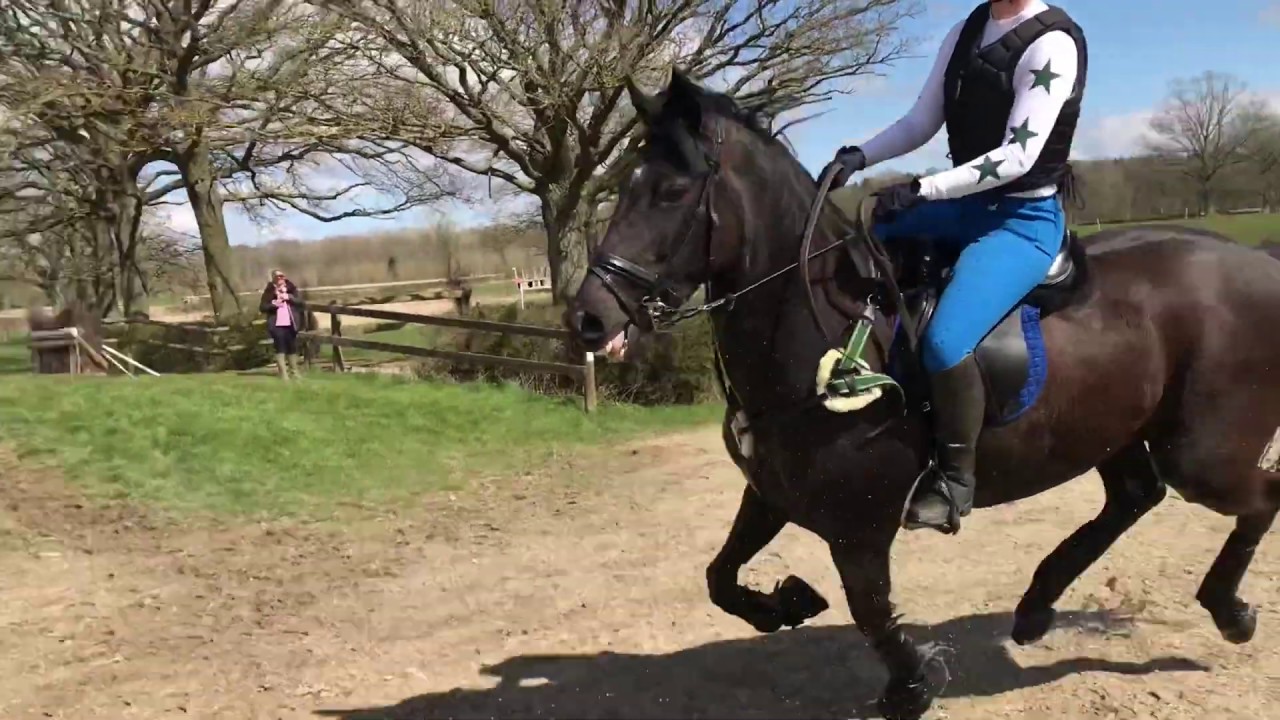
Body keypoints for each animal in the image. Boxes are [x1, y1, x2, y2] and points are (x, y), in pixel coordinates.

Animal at [565, 68, 1280, 720]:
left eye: (671, 192)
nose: (588, 319)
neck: (822, 331)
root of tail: (1259, 262)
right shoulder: (770, 493)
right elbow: (721, 579)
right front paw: (788, 602)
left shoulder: (860, 525)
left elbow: (872, 612)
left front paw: (913, 683)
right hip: (1115, 432)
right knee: (1134, 497)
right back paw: (1037, 608)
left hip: (1203, 456)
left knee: (1257, 497)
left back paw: (1229, 611)